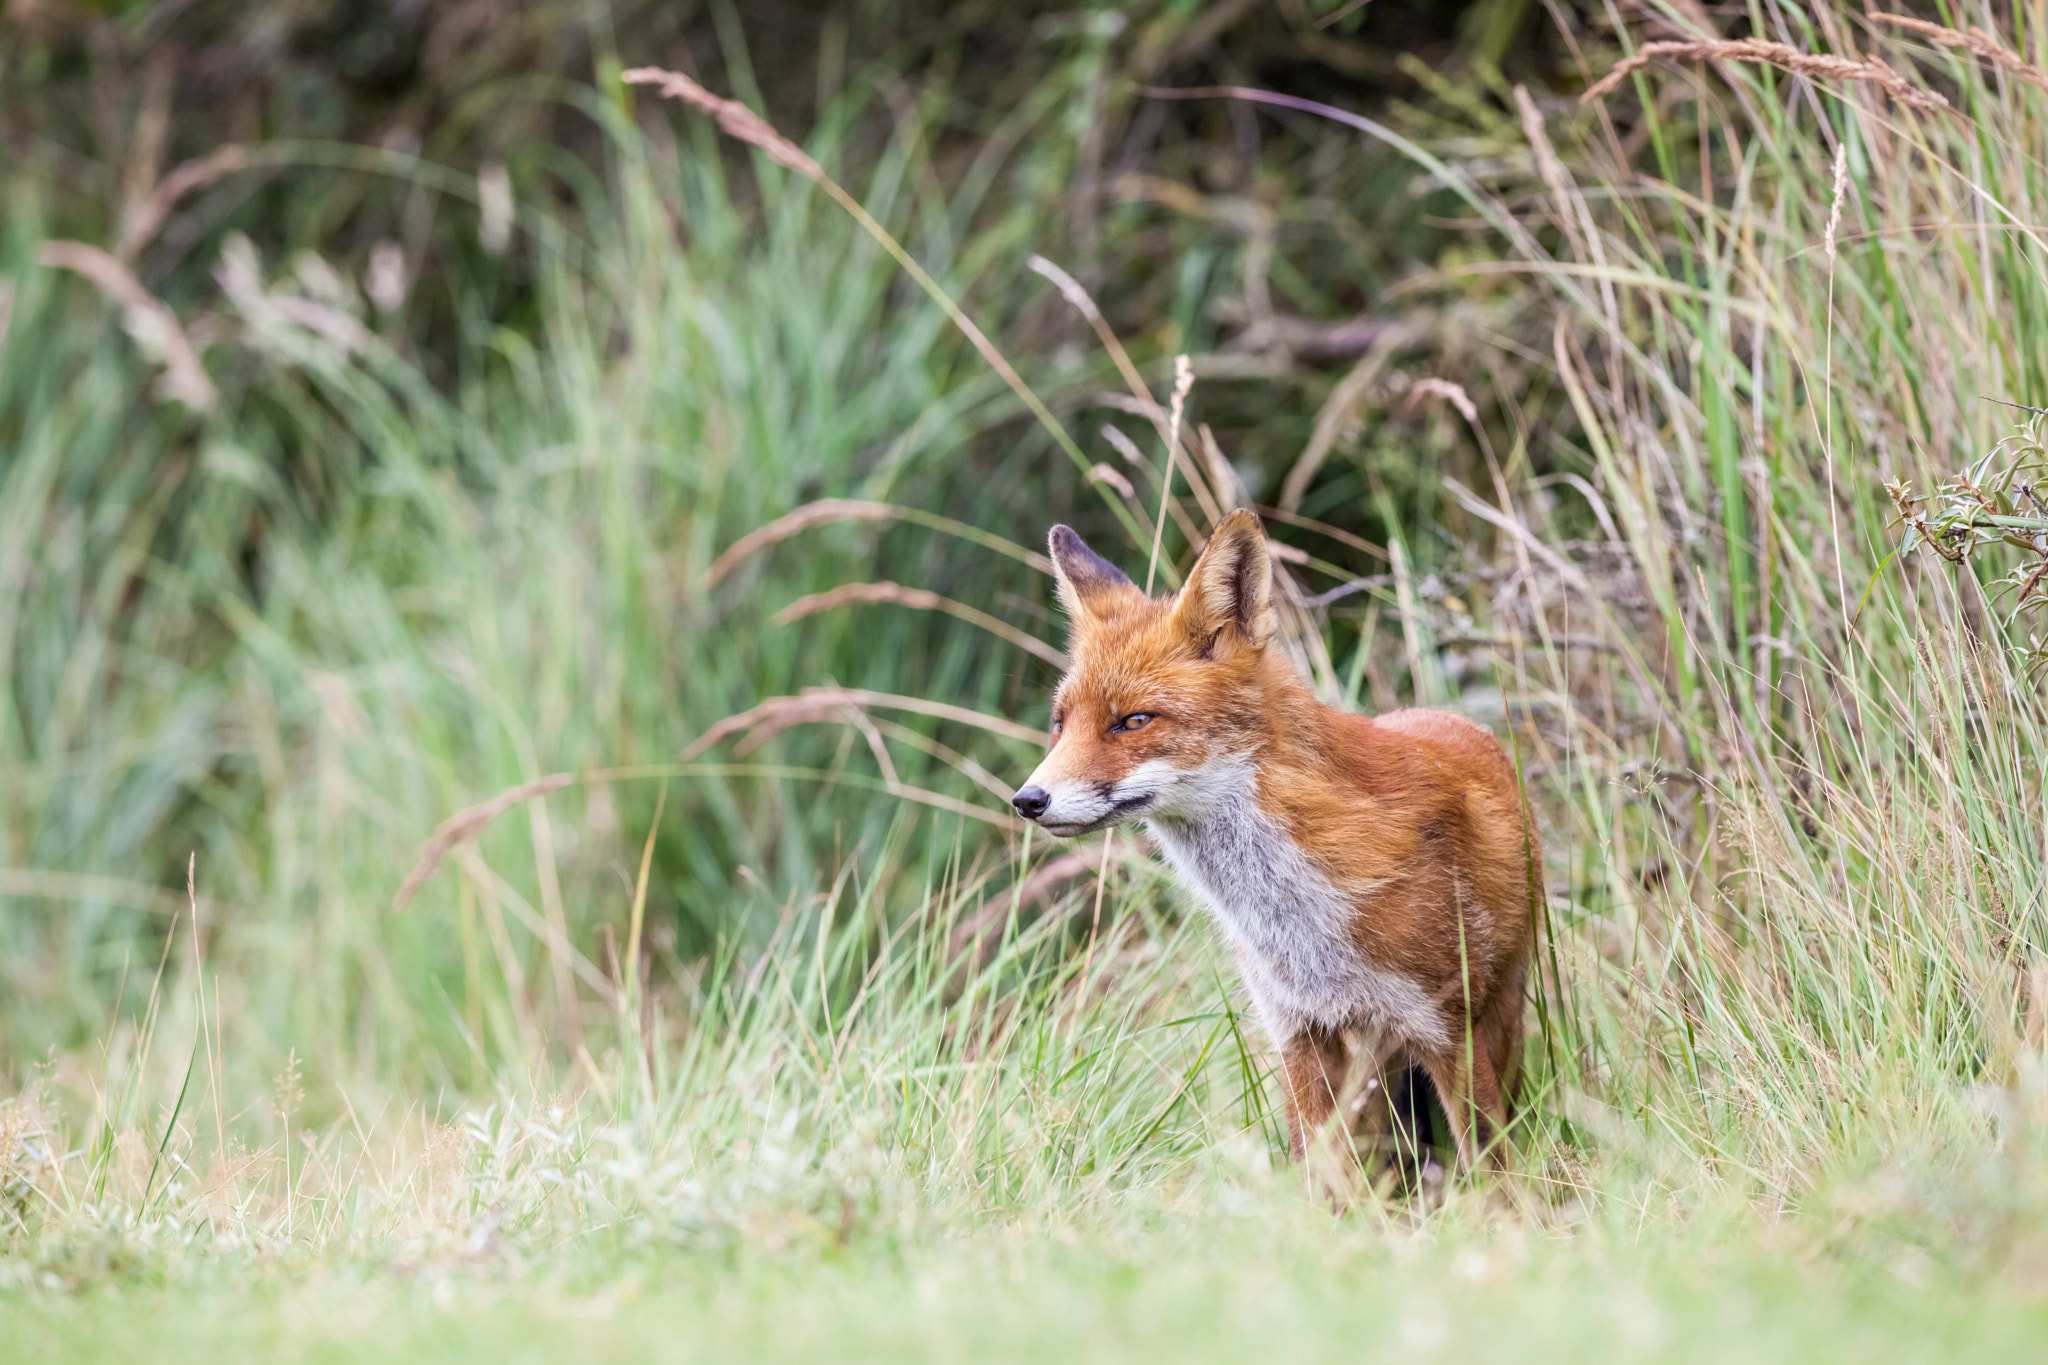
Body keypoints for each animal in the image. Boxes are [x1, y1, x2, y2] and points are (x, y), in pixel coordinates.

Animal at [1007, 507, 1540, 1170]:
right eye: (1060, 723)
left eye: (1133, 721)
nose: (1028, 800)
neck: (1296, 923)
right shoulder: (1295, 1032)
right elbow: (1318, 1175)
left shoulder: (1446, 1028)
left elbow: (1494, 1174)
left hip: (1497, 1020)